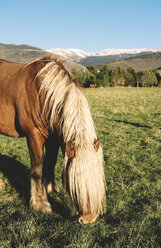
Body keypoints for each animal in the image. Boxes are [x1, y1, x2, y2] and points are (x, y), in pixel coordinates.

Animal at [0, 56, 105, 225]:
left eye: (97, 179)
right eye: (74, 182)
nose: (88, 219)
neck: (42, 91)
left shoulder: (54, 137)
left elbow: (50, 162)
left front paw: (50, 188)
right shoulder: (34, 135)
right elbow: (38, 169)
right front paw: (40, 203)